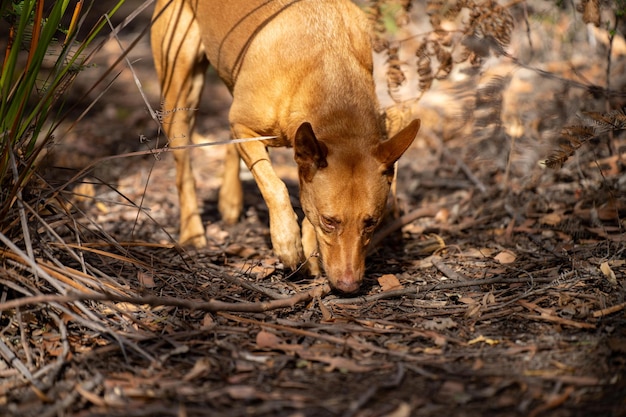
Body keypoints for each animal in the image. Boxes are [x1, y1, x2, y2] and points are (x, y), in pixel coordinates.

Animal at [150, 0, 420, 292]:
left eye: (370, 223)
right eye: (329, 221)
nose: (349, 286)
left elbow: (304, 203)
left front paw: (309, 252)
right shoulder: (245, 130)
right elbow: (275, 186)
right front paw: (287, 244)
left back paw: (230, 201)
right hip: (180, 90)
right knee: (183, 167)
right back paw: (192, 231)